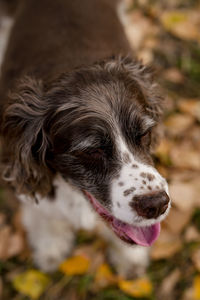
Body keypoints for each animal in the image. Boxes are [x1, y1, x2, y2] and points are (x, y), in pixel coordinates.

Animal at [0, 0, 171, 276]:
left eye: (144, 133)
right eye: (91, 151)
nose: (156, 204)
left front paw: (130, 258)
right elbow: (42, 215)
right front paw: (50, 248)